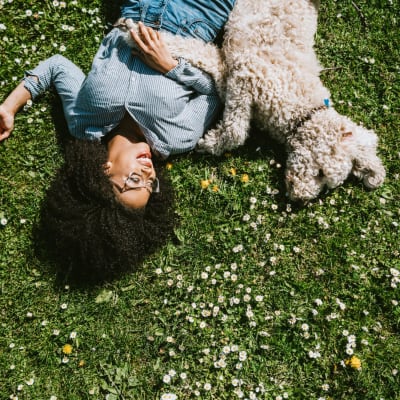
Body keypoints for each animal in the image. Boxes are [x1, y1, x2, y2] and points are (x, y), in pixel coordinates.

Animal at [198, 0, 386, 200]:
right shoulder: (247, 74)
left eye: (326, 185)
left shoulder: (237, 77)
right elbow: (236, 131)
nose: (300, 199)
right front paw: (211, 143)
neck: (301, 109)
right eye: (321, 173)